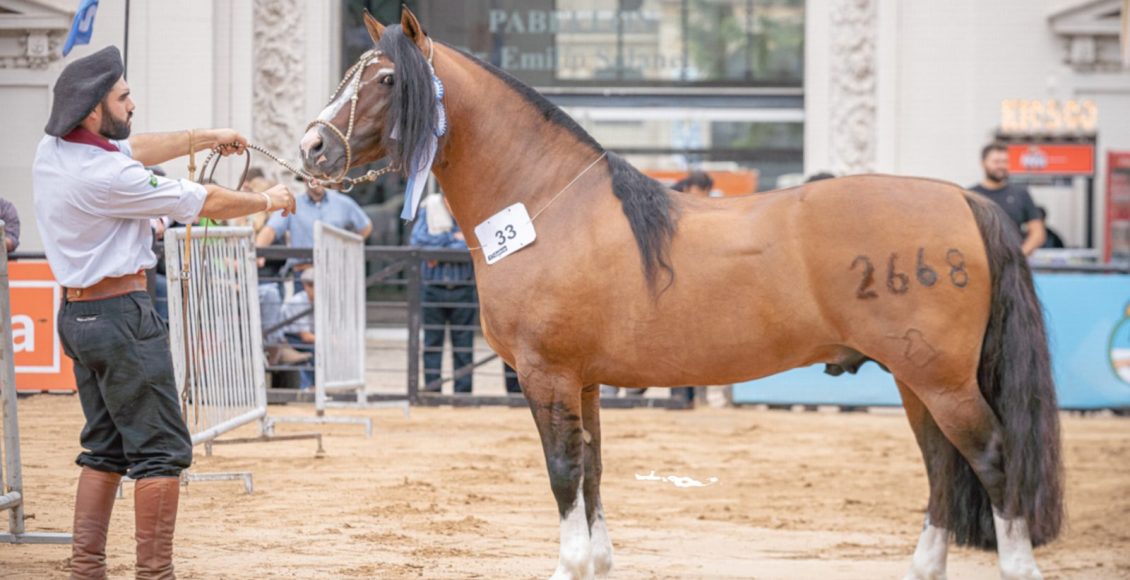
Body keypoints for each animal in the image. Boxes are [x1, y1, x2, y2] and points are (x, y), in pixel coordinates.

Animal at [298, 9, 1057, 578]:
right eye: (348, 74)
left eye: (386, 77)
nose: (312, 148)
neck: (546, 207)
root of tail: (960, 197)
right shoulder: (585, 382)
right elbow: (594, 472)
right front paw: (597, 561)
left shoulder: (547, 376)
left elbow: (564, 473)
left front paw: (569, 563)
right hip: (914, 378)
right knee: (941, 467)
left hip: (941, 380)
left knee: (991, 458)